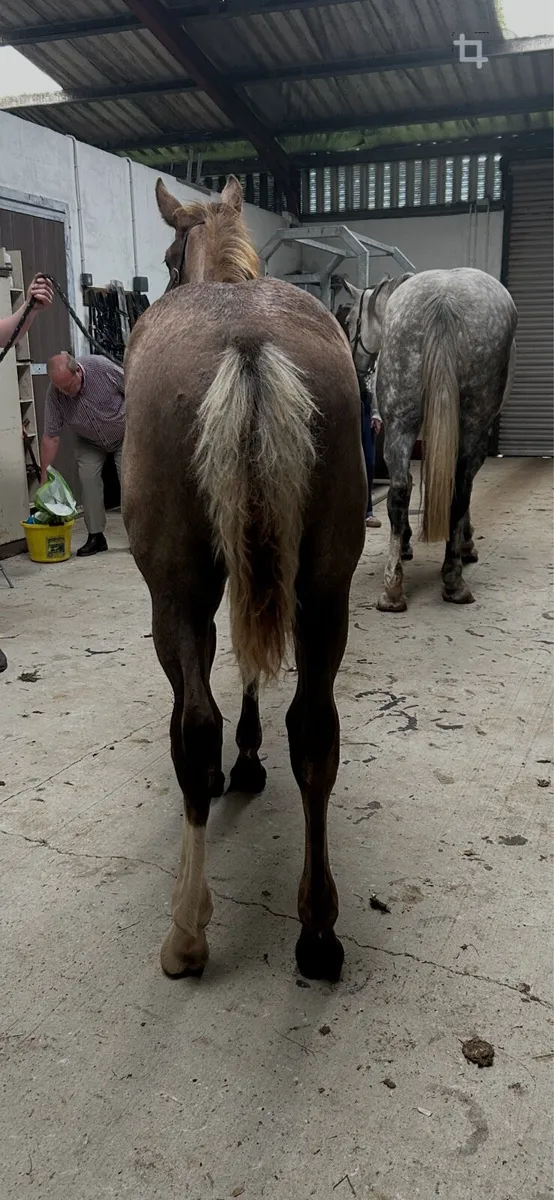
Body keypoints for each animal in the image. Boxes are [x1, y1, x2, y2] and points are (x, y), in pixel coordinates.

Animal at [122, 176, 367, 983]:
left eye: (170, 258)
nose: (165, 274)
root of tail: (249, 342)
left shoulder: (192, 595)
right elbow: (256, 670)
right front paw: (253, 759)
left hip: (176, 594)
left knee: (196, 726)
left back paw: (186, 934)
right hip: (325, 591)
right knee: (315, 730)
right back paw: (317, 931)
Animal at [341, 269, 517, 611]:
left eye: (350, 318)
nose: (356, 367)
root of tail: (443, 299)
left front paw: (408, 544)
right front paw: (466, 543)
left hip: (401, 421)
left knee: (399, 490)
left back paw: (393, 589)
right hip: (472, 424)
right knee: (459, 490)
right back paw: (453, 579)